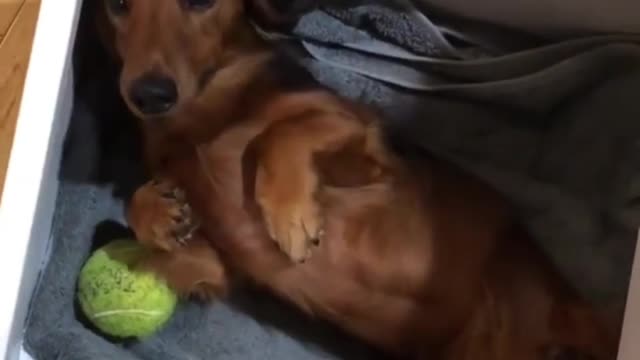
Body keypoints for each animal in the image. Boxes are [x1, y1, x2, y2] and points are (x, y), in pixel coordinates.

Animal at [101, 0, 620, 358]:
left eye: (200, 1)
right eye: (119, 4)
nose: (149, 95)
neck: (203, 118)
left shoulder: (371, 155)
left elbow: (278, 133)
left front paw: (291, 218)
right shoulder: (220, 265)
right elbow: (162, 223)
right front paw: (158, 213)